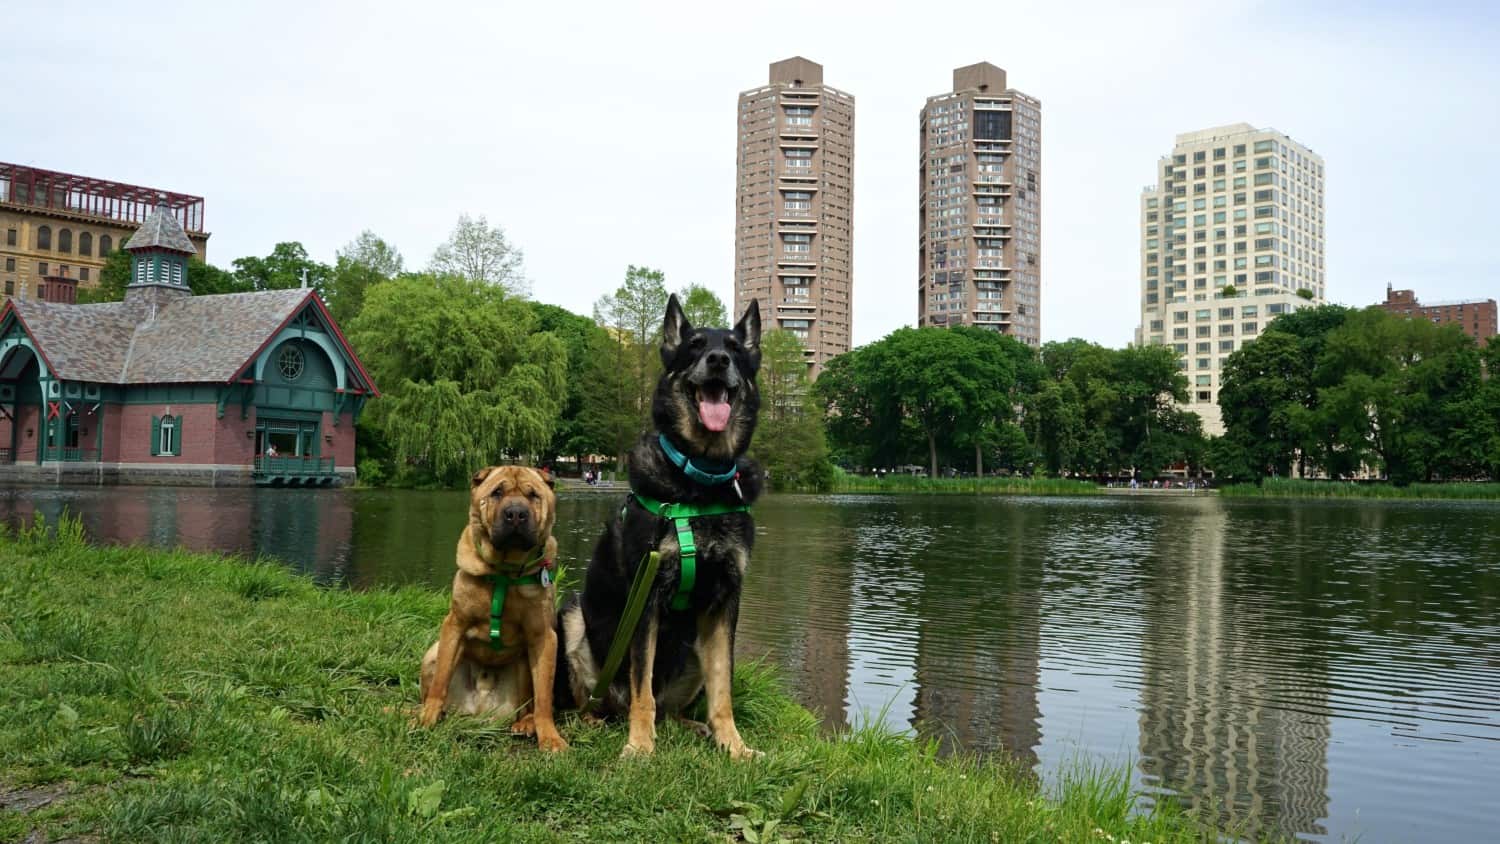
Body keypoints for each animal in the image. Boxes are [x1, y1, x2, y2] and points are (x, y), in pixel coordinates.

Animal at [420, 467, 570, 752]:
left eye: (533, 495)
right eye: (497, 492)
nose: (516, 513)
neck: (504, 573)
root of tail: (479, 709)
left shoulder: (543, 637)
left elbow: (544, 697)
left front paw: (550, 738)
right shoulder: (455, 624)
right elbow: (440, 681)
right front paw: (426, 718)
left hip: (524, 665)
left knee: (529, 704)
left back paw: (526, 725)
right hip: (431, 653)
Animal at [558, 295, 762, 758]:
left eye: (735, 350)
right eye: (695, 345)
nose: (719, 360)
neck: (698, 480)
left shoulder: (725, 602)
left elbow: (723, 690)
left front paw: (734, 745)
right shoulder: (646, 596)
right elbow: (642, 689)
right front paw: (639, 746)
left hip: (694, 651)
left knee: (670, 708)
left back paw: (696, 728)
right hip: (573, 617)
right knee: (601, 701)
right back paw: (597, 722)